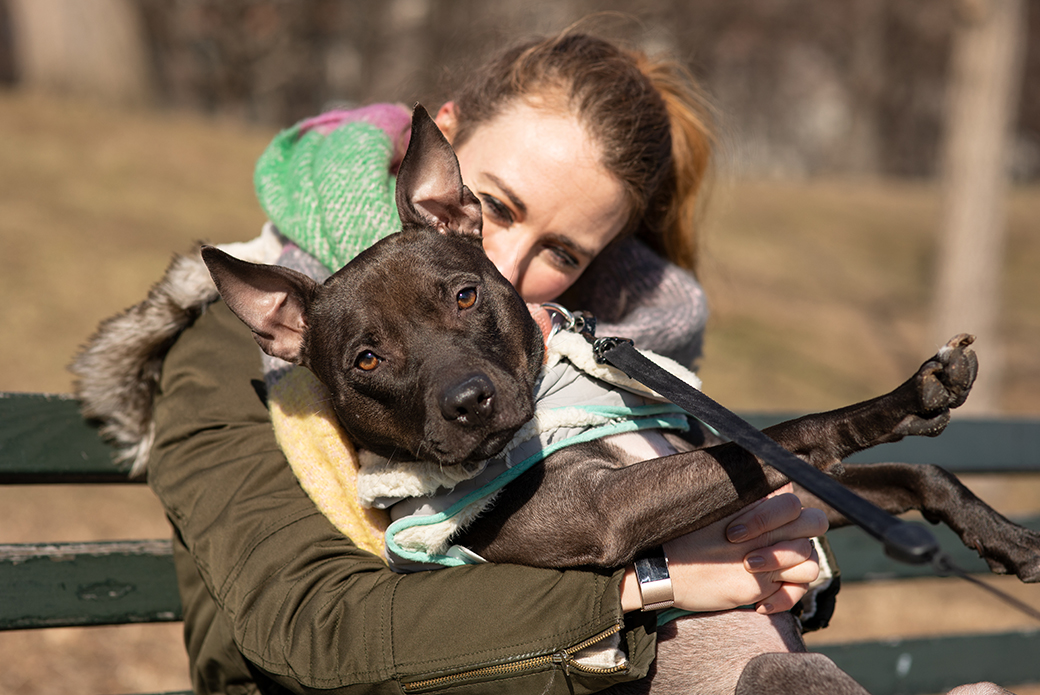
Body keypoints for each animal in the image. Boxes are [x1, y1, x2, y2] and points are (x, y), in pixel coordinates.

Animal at [198, 106, 1035, 690]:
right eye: (367, 358)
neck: (551, 400)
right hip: (783, 668)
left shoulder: (770, 496)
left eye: (464, 294)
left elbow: (896, 475)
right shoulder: (608, 513)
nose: (468, 400)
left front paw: (1000, 532)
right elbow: (799, 430)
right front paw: (899, 404)